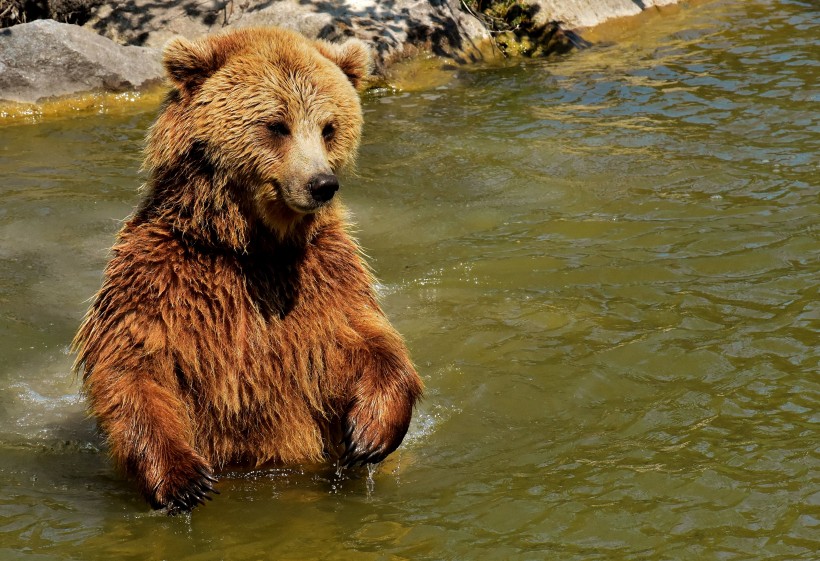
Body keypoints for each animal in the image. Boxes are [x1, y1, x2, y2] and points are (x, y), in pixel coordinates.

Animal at [72, 28, 422, 516]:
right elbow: (134, 364)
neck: (250, 247)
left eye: (329, 127)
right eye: (277, 125)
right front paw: (183, 480)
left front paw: (369, 432)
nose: (322, 183)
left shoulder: (324, 272)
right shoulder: (159, 275)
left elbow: (366, 338)